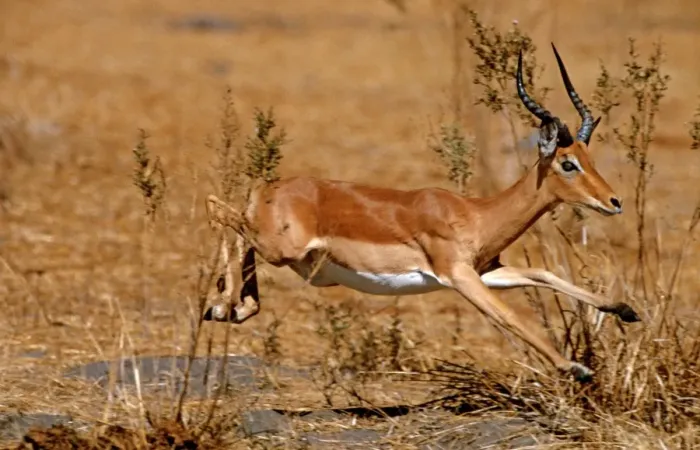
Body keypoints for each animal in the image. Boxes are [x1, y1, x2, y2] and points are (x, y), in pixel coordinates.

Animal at [203, 44, 640, 382]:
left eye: (589, 158)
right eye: (568, 163)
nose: (614, 202)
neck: (477, 214)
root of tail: (269, 188)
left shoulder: (488, 271)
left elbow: (543, 274)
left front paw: (624, 308)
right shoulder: (459, 276)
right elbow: (511, 318)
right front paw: (576, 368)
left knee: (229, 220)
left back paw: (233, 307)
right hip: (280, 248)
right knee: (218, 208)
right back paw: (225, 305)